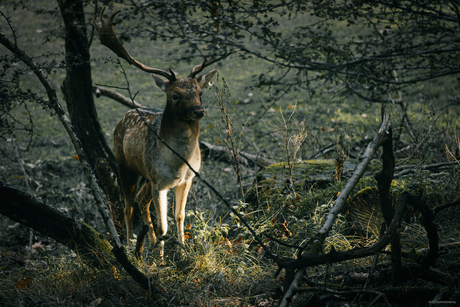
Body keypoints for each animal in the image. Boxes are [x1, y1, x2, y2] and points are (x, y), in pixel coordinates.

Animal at [92, 8, 226, 256]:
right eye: (175, 95)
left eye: (200, 92)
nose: (199, 110)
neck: (178, 164)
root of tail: (122, 119)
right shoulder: (159, 182)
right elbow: (163, 225)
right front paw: (163, 260)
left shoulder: (188, 178)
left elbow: (179, 216)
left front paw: (183, 252)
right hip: (125, 165)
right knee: (128, 207)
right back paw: (130, 247)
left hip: (146, 176)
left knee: (141, 200)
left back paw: (149, 244)